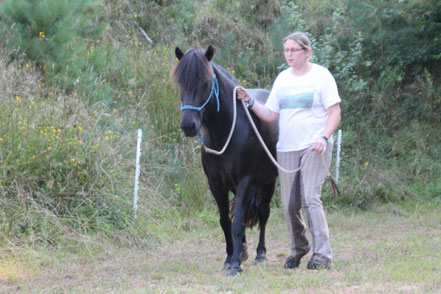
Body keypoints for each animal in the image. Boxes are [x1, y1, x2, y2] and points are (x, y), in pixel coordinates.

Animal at [174, 45, 276, 276]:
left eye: (206, 82)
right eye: (180, 82)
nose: (188, 125)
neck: (227, 131)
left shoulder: (245, 181)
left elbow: (237, 223)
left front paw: (236, 265)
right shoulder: (215, 183)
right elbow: (225, 221)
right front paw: (230, 257)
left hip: (269, 181)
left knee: (264, 213)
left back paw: (260, 253)